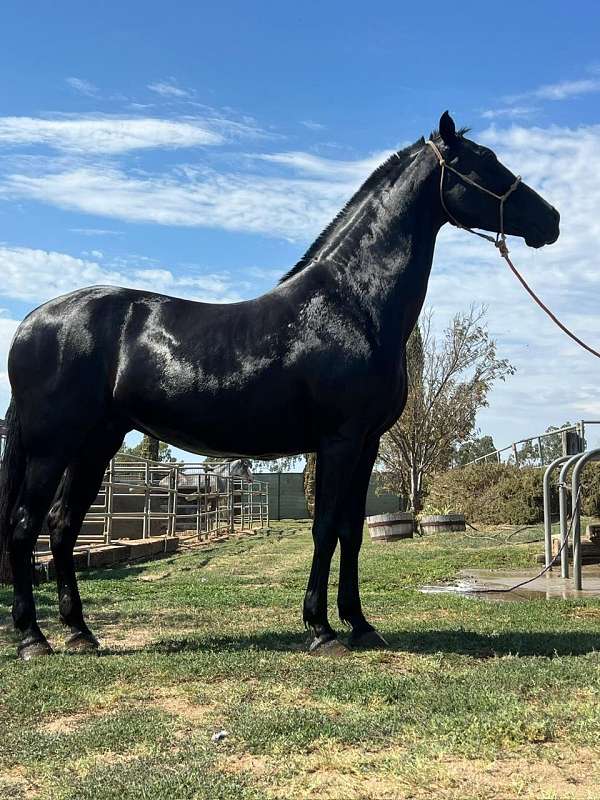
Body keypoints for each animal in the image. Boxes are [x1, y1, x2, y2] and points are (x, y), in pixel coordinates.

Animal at [1, 114, 556, 664]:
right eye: (484, 162)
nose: (550, 220)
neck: (351, 304)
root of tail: (31, 322)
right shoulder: (339, 441)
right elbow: (325, 527)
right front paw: (321, 630)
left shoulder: (366, 443)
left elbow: (351, 532)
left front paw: (360, 625)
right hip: (53, 448)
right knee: (26, 525)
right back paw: (33, 639)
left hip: (95, 444)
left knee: (63, 526)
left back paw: (79, 632)